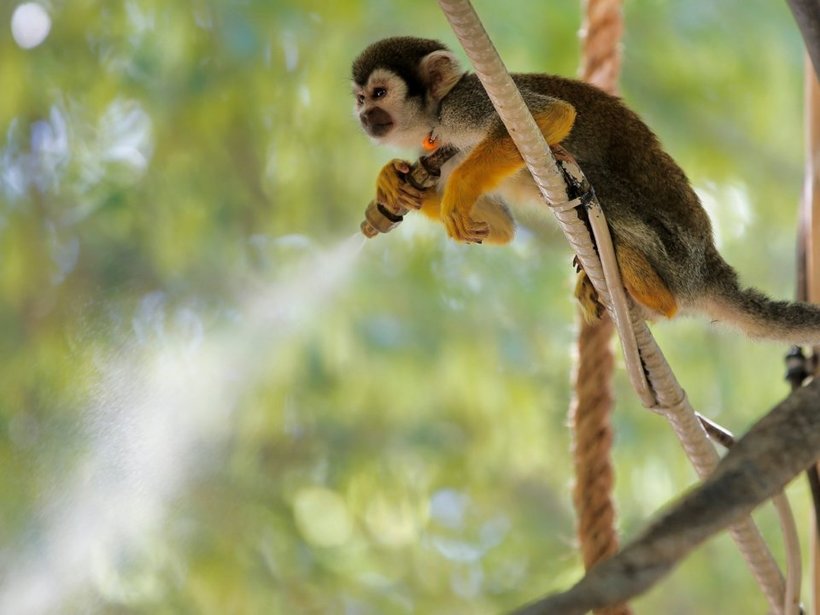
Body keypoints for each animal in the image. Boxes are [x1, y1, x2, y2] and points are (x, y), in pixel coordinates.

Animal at [354, 36, 820, 344]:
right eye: (360, 98)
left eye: (379, 93)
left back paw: (652, 293)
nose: (364, 117)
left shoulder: (467, 103)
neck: (435, 120)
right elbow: (499, 226)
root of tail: (710, 271)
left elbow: (554, 114)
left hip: (676, 257)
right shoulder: (440, 152)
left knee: (592, 183)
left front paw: (456, 192)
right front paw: (395, 188)